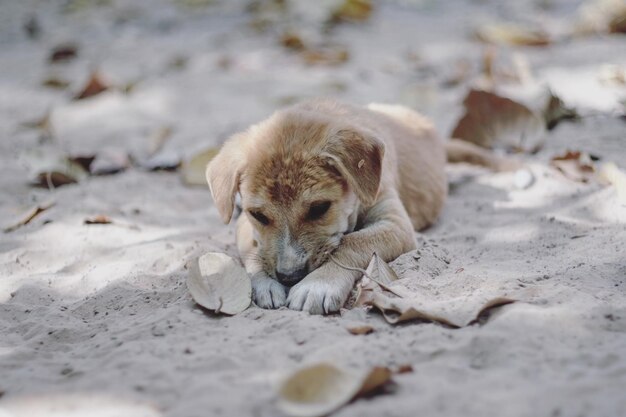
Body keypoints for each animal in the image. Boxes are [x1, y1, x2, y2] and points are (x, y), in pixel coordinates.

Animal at [207, 98, 494, 312]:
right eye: (259, 215)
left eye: (319, 208)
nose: (289, 276)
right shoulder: (244, 224)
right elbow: (255, 249)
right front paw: (264, 282)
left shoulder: (396, 225)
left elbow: (352, 242)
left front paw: (319, 284)